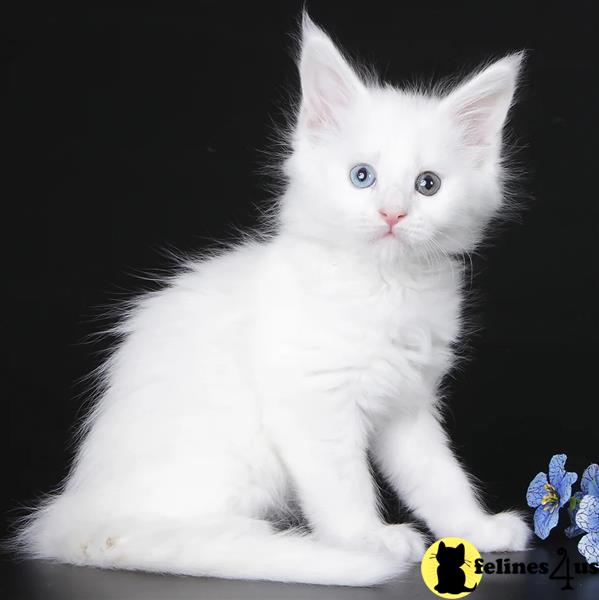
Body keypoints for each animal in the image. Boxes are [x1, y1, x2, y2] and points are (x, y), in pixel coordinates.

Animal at [10, 14, 528, 584]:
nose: (392, 214)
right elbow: (343, 485)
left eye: (427, 185)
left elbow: (438, 475)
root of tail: (75, 511)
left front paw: (476, 528)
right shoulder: (312, 400)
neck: (384, 287)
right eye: (362, 176)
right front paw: (366, 540)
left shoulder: (409, 402)